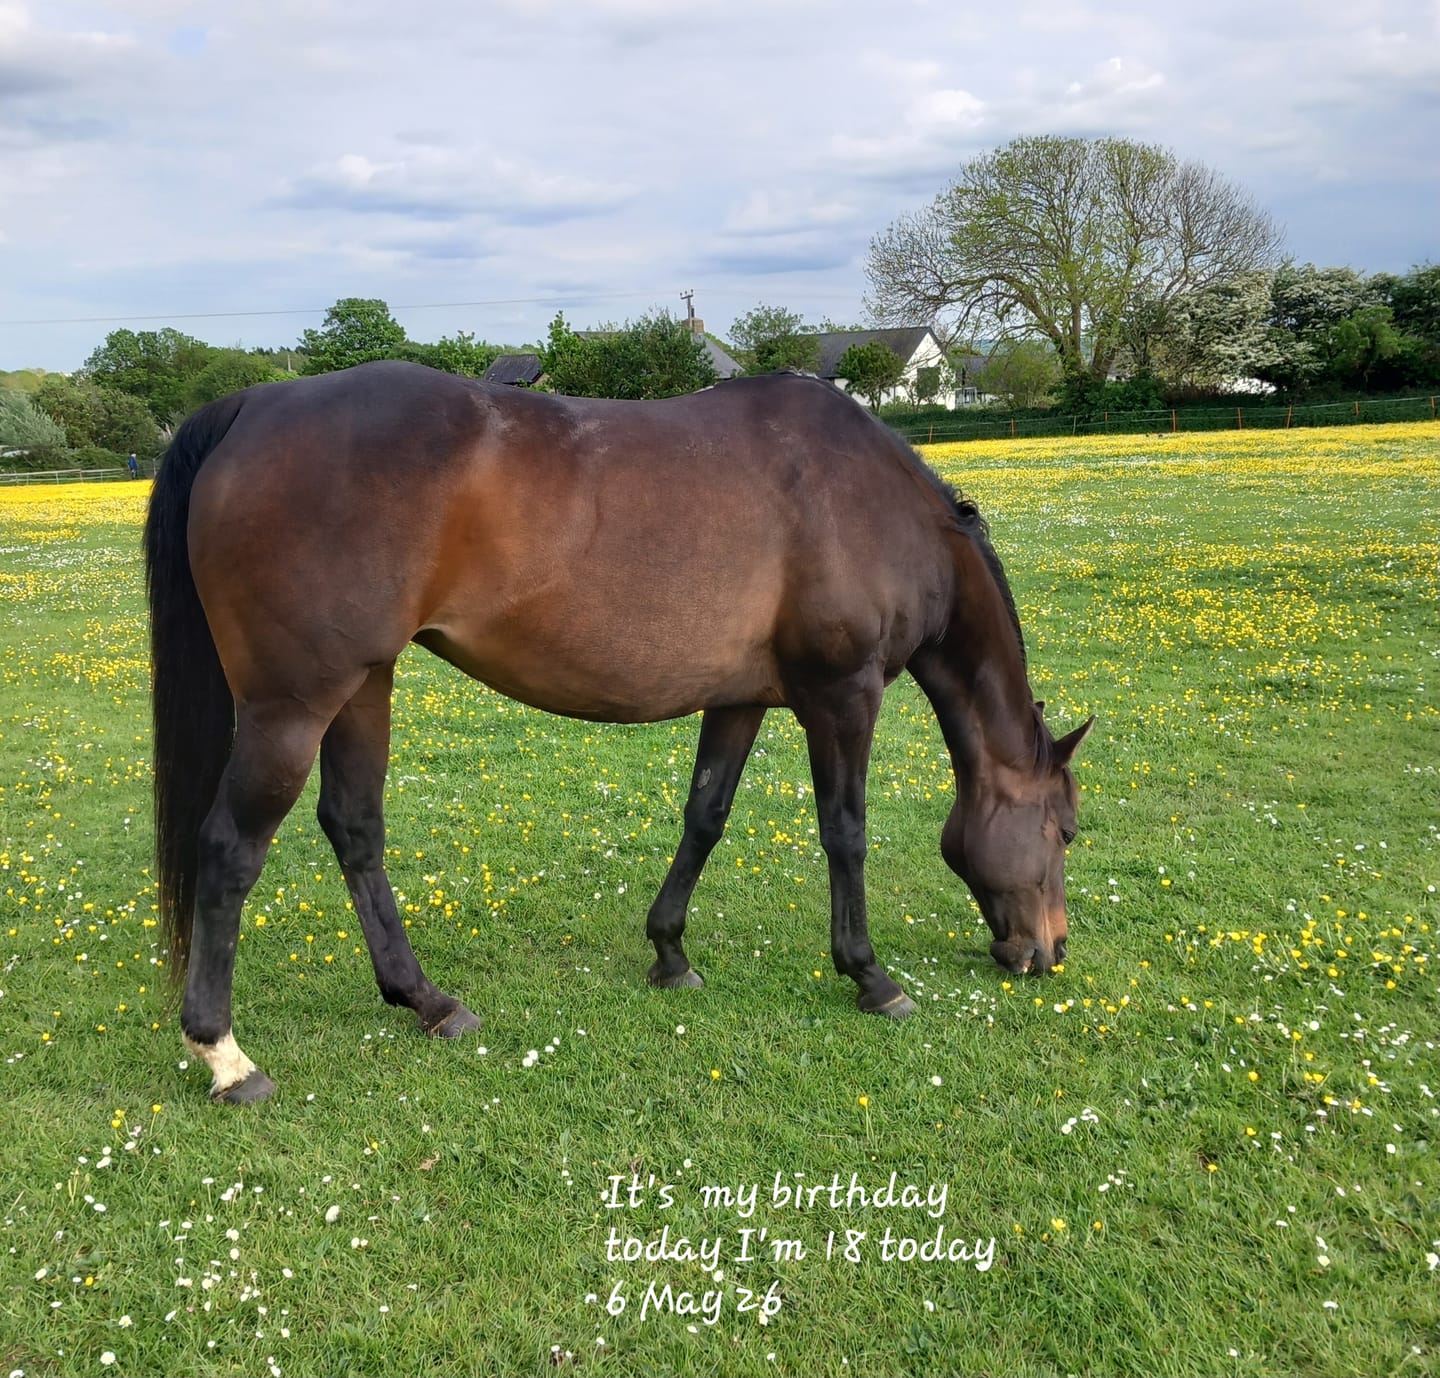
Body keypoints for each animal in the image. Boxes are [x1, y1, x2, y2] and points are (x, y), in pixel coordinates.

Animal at [145, 362, 1091, 1103]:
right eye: (1066, 830)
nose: (1048, 952)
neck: (870, 501)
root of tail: (255, 405)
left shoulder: (741, 699)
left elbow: (705, 816)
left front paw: (670, 952)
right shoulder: (843, 695)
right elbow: (845, 833)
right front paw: (870, 975)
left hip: (363, 686)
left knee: (354, 829)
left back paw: (428, 1002)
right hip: (293, 707)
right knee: (230, 849)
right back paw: (226, 1057)